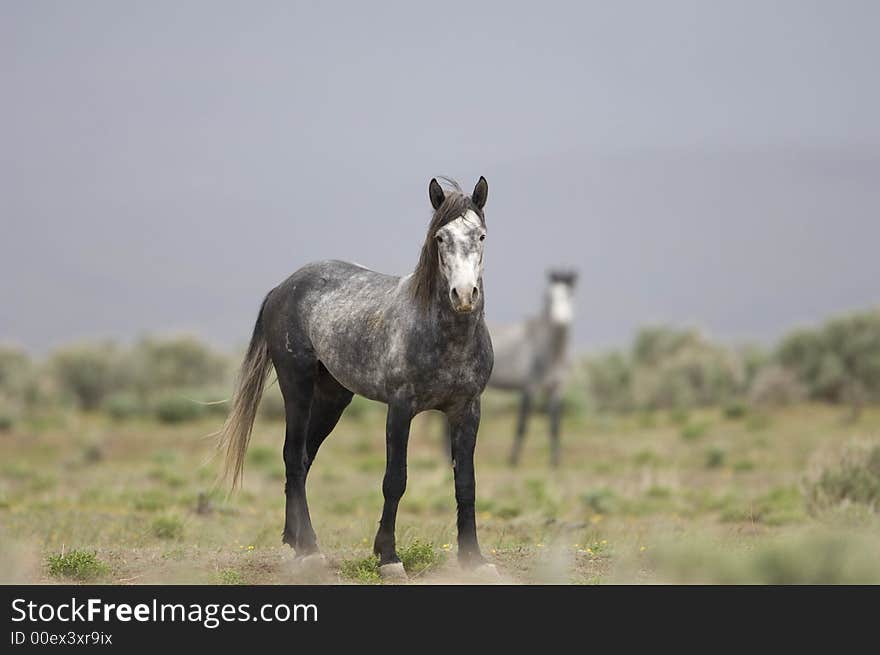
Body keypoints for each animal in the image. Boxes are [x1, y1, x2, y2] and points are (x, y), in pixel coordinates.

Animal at [217, 178, 498, 580]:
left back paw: (296, 542)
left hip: (333, 397)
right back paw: (310, 551)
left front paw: (473, 559)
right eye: (440, 237)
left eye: (481, 235)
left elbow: (466, 483)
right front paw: (388, 557)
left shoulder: (468, 410)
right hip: (296, 385)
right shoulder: (400, 409)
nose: (463, 294)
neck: (445, 335)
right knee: (292, 456)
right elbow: (395, 480)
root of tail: (283, 287)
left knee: (304, 459)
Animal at [488, 270, 576, 466]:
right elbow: (522, 425)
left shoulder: (557, 390)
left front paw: (555, 462)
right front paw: (513, 460)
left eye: (569, 294)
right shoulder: (529, 388)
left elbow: (555, 426)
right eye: (548, 297)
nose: (561, 321)